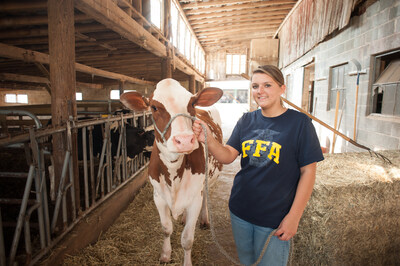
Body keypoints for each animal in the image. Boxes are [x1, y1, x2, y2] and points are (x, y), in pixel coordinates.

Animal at [120, 78, 223, 264]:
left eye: (192, 103)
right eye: (154, 107)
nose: (184, 140)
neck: (174, 172)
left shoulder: (195, 198)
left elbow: (187, 239)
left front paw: (187, 262)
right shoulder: (158, 197)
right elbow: (166, 228)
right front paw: (165, 255)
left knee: (205, 197)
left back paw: (204, 220)